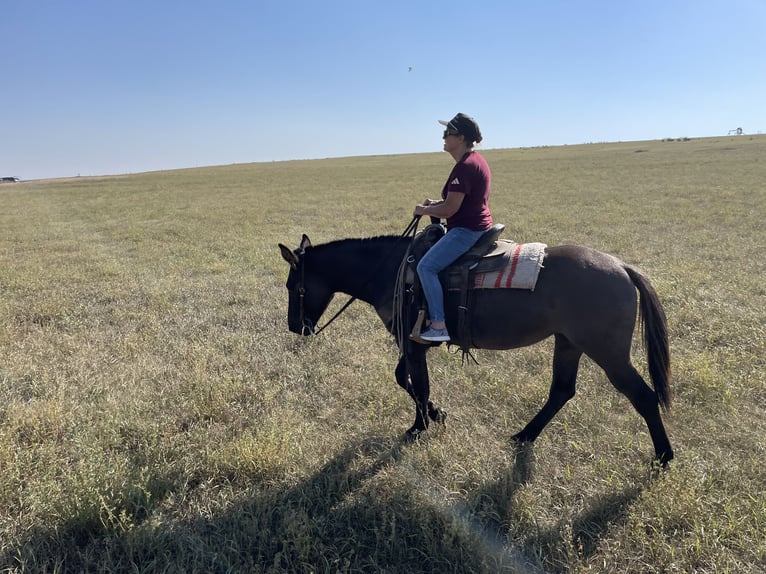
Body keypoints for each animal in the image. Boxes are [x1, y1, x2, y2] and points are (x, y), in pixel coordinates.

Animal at [278, 229, 674, 466]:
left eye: (293, 287)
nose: (295, 327)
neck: (391, 271)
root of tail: (621, 266)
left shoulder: (413, 344)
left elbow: (417, 383)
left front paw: (419, 426)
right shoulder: (410, 345)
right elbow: (404, 380)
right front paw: (437, 414)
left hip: (607, 353)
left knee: (643, 396)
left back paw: (664, 456)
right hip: (568, 343)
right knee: (562, 391)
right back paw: (524, 435)